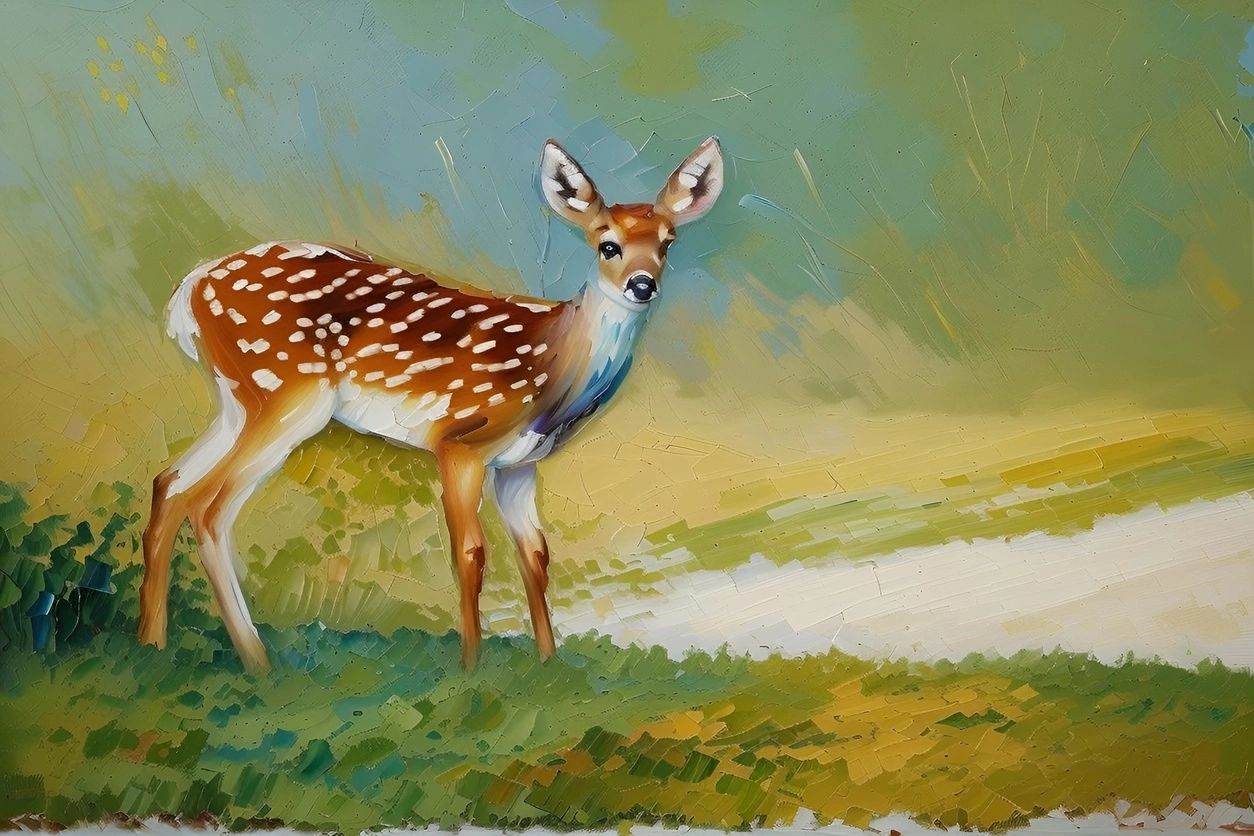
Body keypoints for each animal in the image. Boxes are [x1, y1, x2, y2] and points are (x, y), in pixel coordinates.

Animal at [137, 137, 725, 672]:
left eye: (668, 244)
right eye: (607, 245)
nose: (642, 285)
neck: (552, 374)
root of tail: (188, 291)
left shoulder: (520, 465)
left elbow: (536, 556)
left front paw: (547, 663)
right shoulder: (461, 439)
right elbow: (471, 553)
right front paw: (470, 667)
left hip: (238, 400)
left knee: (169, 482)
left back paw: (153, 643)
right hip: (287, 394)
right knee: (209, 505)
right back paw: (258, 663)